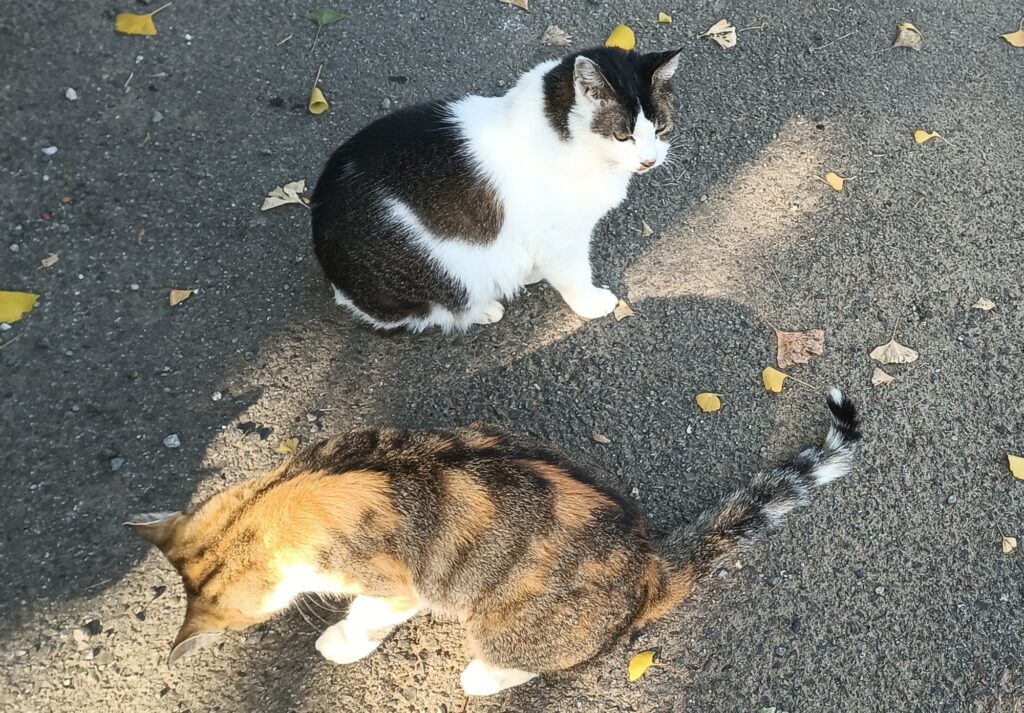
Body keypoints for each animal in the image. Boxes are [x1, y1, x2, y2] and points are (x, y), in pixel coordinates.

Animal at [130, 389, 864, 696]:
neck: (278, 496)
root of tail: (650, 565)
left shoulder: (394, 585)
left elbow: (367, 615)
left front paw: (338, 640)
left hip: (504, 623)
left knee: (522, 659)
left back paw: (482, 675)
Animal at [307, 47, 684, 331]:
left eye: (661, 129)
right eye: (623, 136)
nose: (649, 161)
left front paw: (529, 270)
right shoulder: (560, 239)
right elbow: (574, 275)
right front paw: (590, 303)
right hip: (438, 274)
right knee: (422, 310)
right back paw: (484, 308)